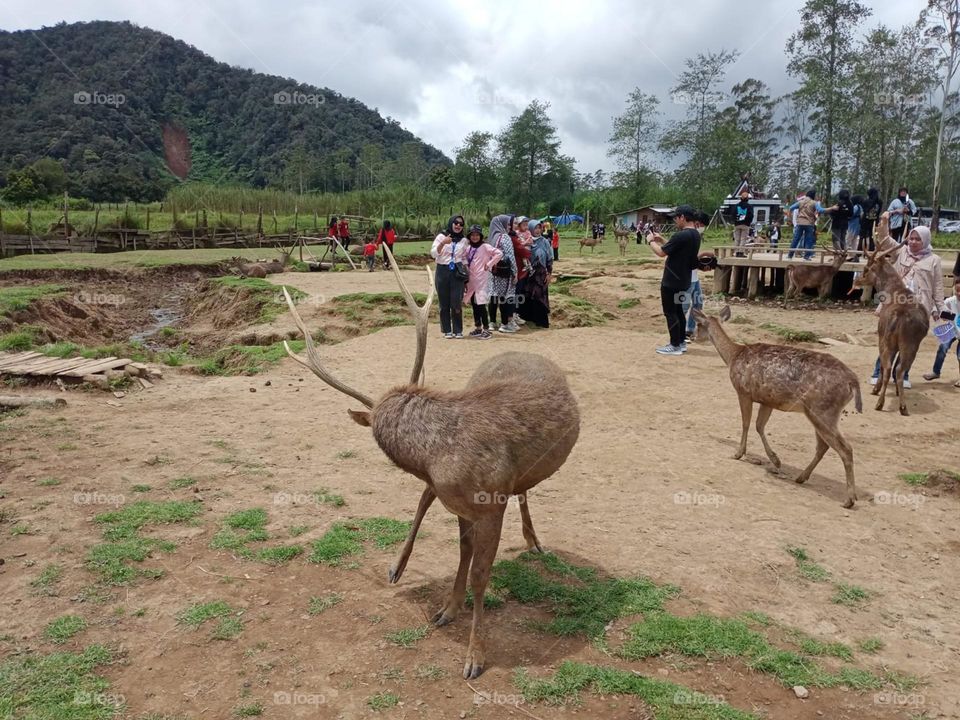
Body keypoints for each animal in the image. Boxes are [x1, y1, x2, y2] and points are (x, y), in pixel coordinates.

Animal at [281, 244, 581, 678]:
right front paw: (447, 609)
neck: (437, 458)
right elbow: (462, 554)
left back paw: (534, 541)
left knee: (521, 494)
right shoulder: (460, 505)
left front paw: (475, 656)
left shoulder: (490, 502)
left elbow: (480, 574)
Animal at [692, 305, 861, 508]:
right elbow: (759, 425)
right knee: (823, 446)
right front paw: (776, 460)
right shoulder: (767, 400)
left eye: (698, 325)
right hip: (820, 412)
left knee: (845, 448)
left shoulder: (743, 392)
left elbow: (746, 423)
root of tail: (853, 382)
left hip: (822, 410)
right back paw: (801, 477)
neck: (733, 355)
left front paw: (738, 453)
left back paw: (849, 499)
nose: (691, 336)